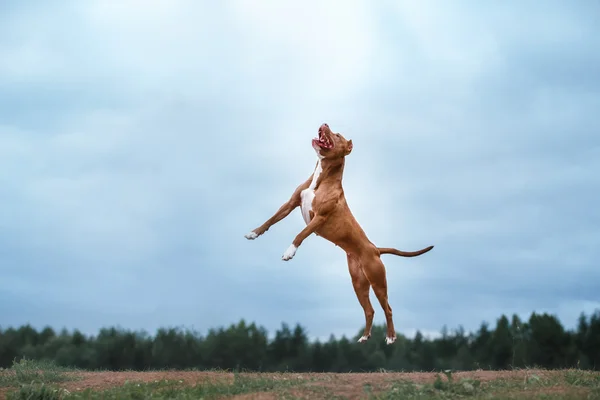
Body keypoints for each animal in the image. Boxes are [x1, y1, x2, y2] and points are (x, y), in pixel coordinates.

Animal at [246, 122, 434, 344]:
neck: (321, 178)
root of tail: (375, 249)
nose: (325, 123)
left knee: (387, 308)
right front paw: (254, 233)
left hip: (378, 281)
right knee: (369, 310)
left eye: (337, 135)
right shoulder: (290, 204)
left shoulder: (319, 217)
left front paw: (289, 252)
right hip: (359, 283)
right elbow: (271, 220)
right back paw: (365, 336)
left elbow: (300, 234)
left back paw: (390, 337)